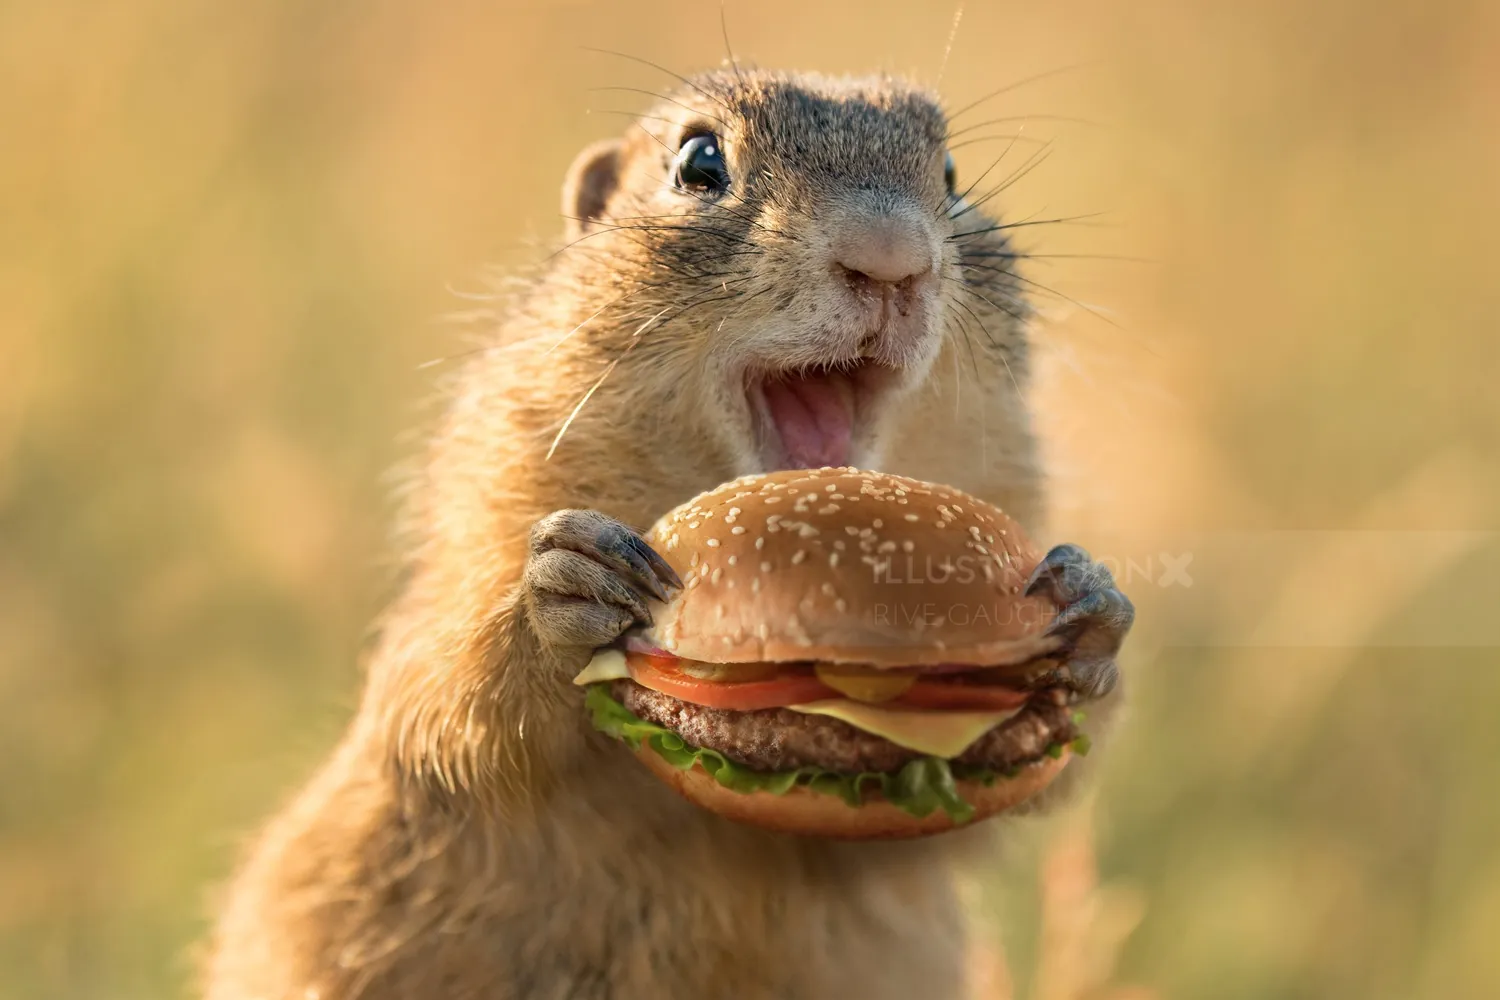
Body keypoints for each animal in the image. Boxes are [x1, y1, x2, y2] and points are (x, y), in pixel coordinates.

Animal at [203, 69, 1130, 1000]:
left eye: (950, 173)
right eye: (699, 160)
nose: (892, 258)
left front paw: (1090, 611)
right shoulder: (481, 509)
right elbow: (438, 708)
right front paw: (569, 586)